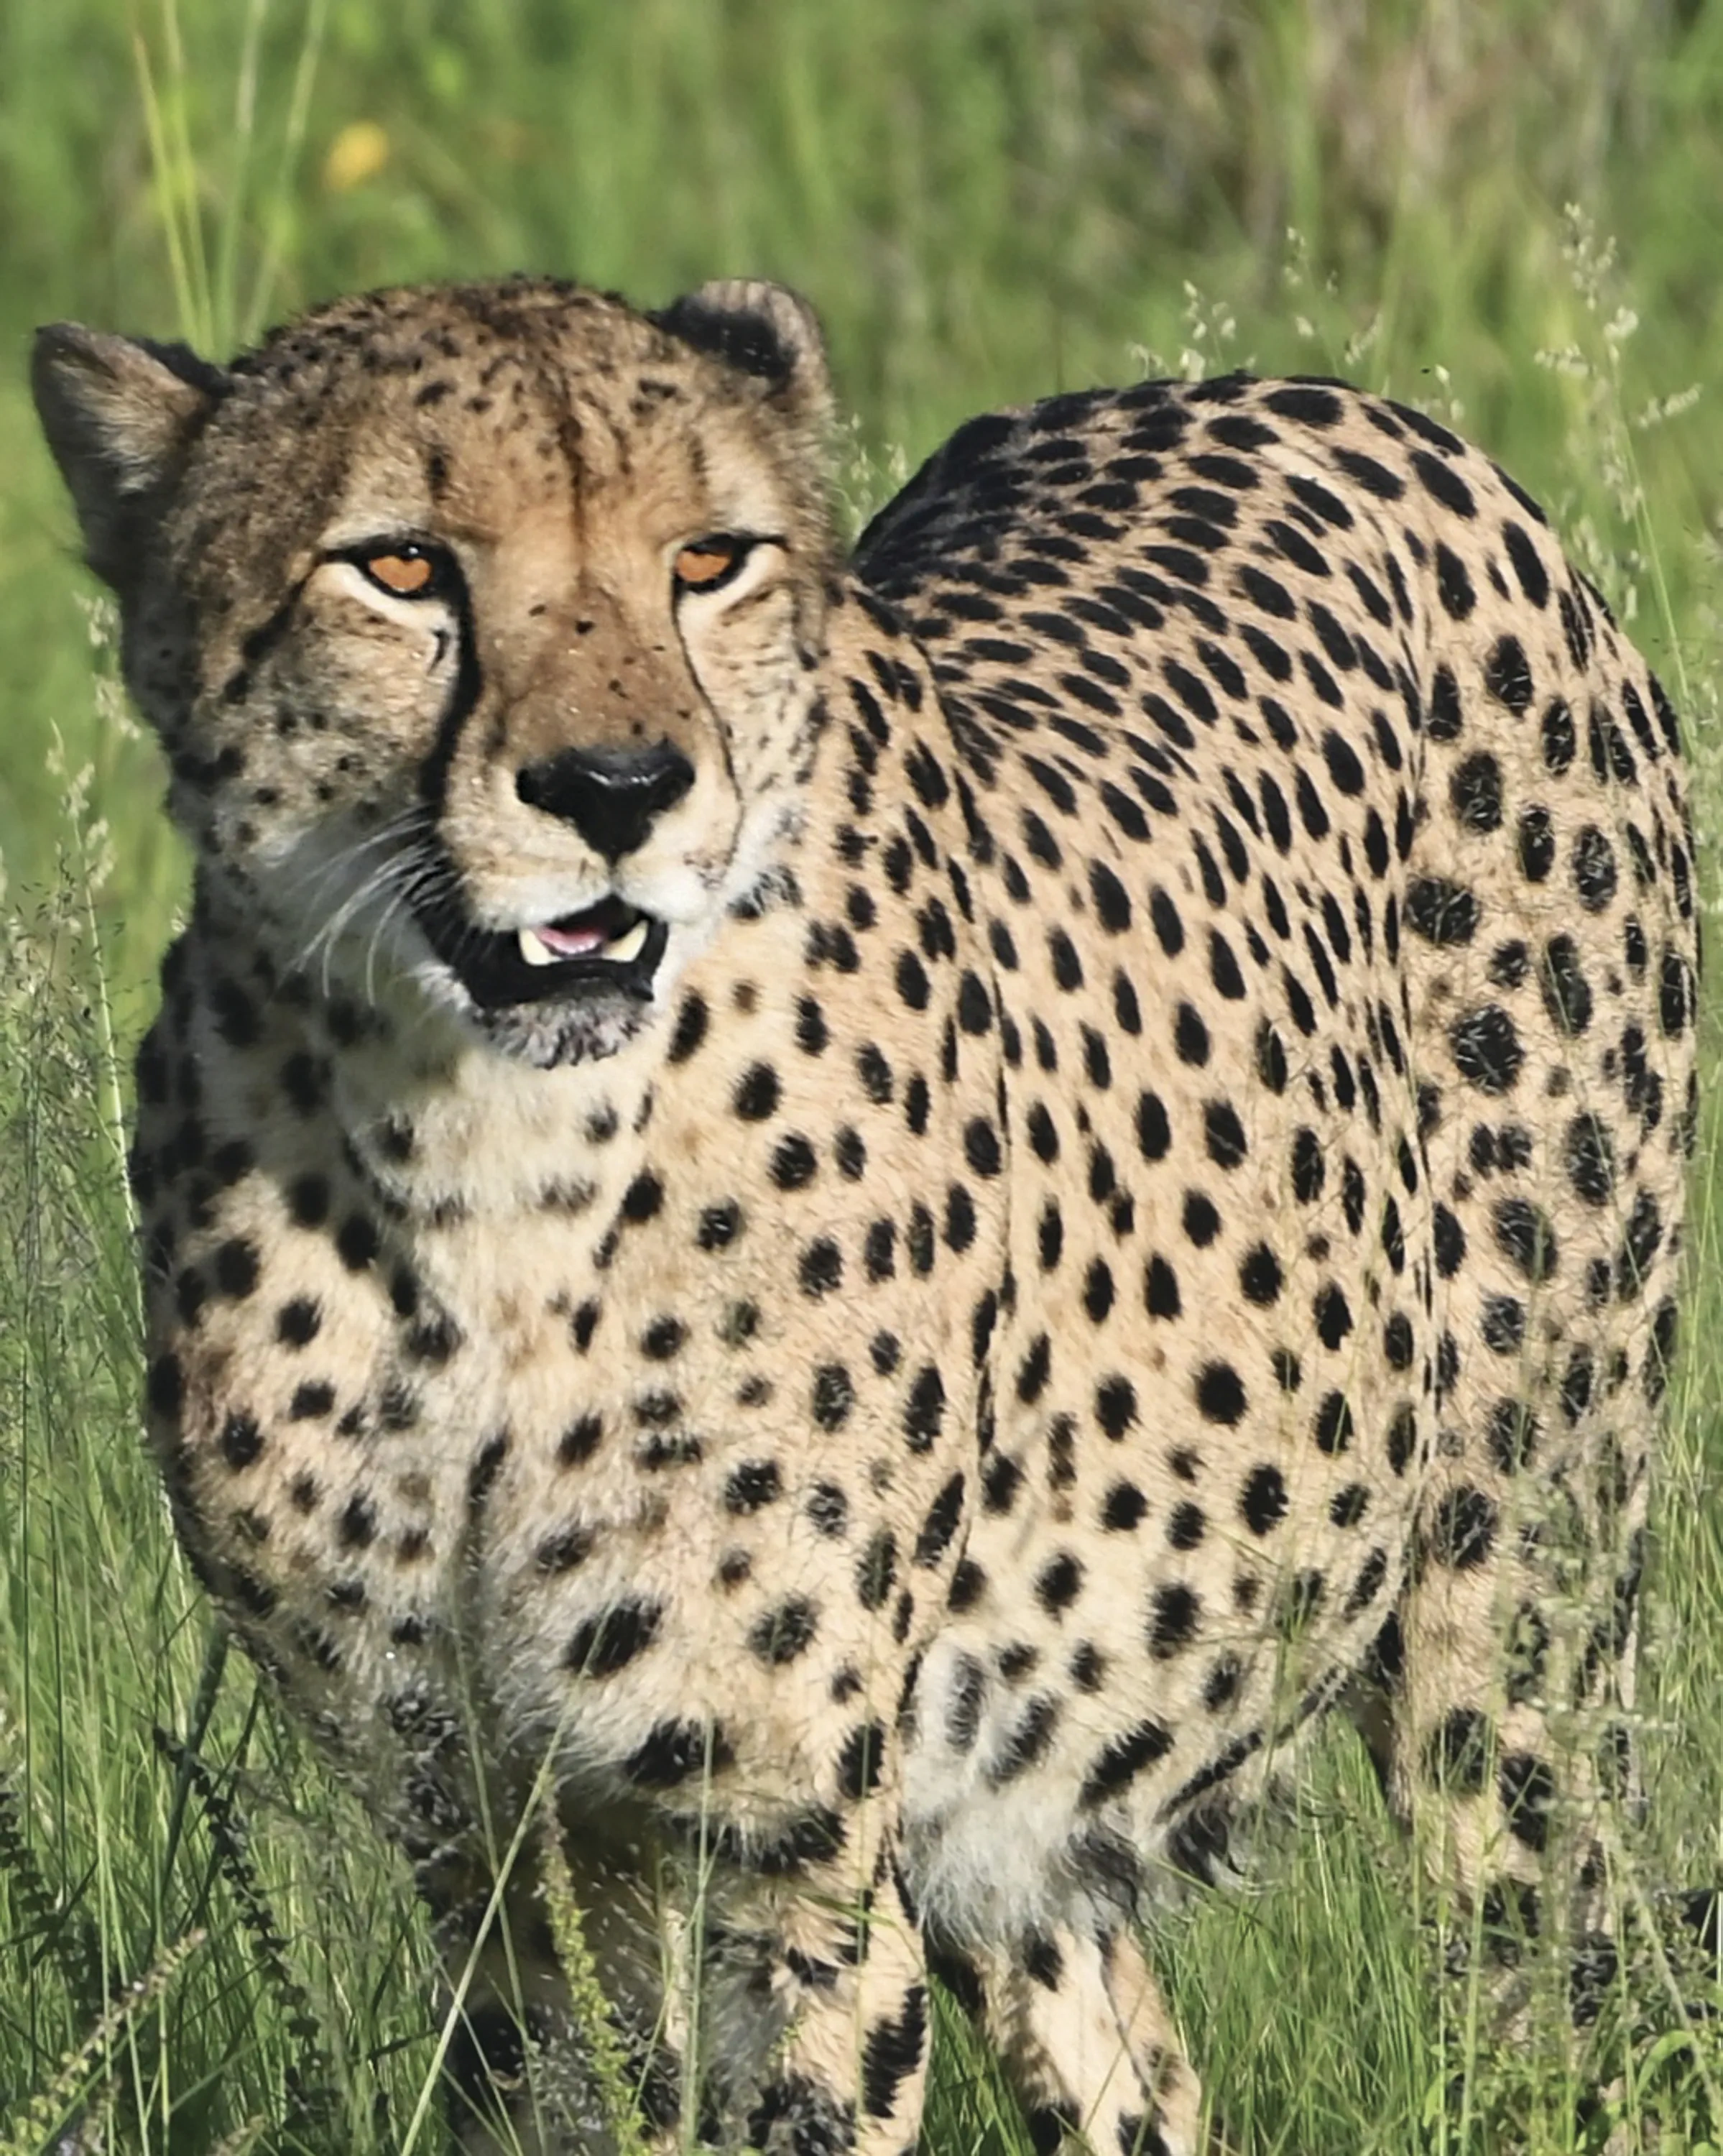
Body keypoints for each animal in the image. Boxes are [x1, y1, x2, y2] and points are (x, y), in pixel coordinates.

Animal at [32, 273, 1699, 2156]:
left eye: (708, 558)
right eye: (398, 566)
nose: (618, 788)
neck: (489, 1170)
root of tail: (1319, 396)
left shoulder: (787, 1841)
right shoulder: (494, 1847)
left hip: (1506, 1635)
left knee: (1567, 1991)